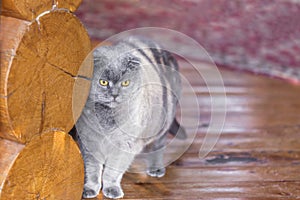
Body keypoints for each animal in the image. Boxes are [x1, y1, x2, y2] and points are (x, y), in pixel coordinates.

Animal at [75, 37, 185, 198]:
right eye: (103, 82)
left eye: (125, 83)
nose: (115, 94)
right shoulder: (88, 141)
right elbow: (92, 169)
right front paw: (90, 188)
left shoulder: (126, 144)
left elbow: (113, 170)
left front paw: (111, 189)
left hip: (162, 121)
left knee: (158, 145)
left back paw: (156, 168)